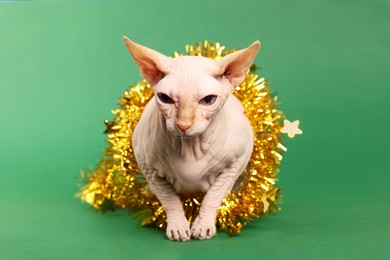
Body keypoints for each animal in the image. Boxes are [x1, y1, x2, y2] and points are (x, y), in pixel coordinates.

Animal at [123, 37, 260, 242]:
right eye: (165, 98)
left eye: (209, 100)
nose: (183, 125)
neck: (189, 147)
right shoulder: (148, 167)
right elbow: (169, 198)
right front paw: (178, 227)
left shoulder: (237, 162)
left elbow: (214, 194)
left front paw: (203, 226)